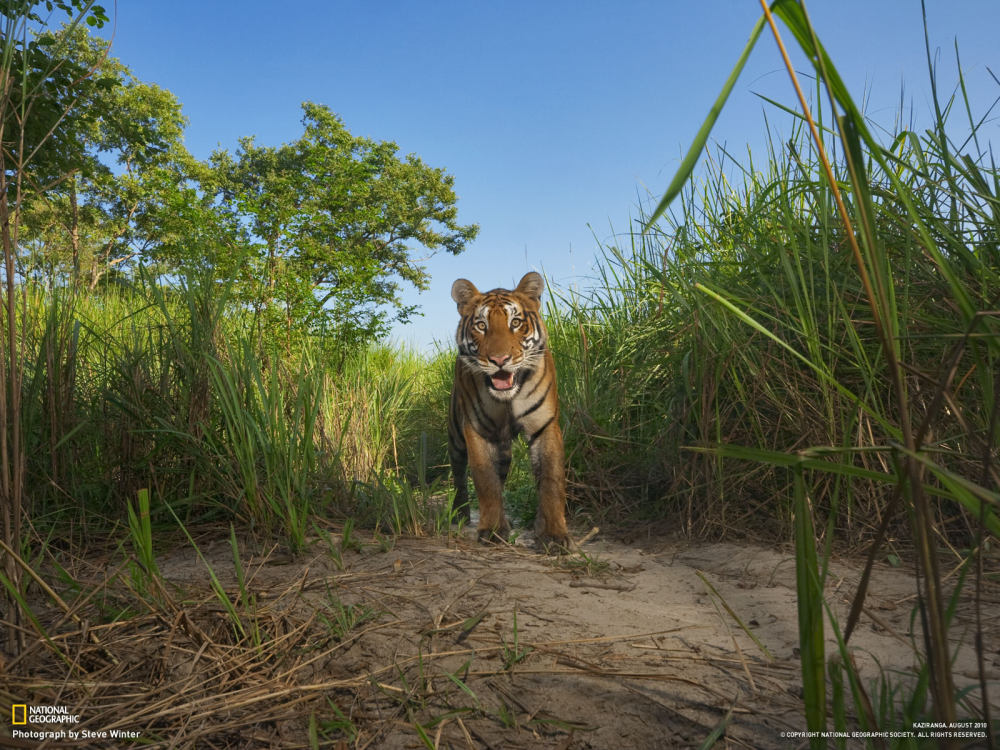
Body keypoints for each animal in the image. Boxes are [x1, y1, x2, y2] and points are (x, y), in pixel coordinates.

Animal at [448, 272, 572, 552]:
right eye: (481, 325)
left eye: (515, 322)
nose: (499, 360)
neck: (507, 399)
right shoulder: (477, 431)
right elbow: (485, 481)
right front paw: (493, 530)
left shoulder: (544, 426)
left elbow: (551, 482)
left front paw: (553, 534)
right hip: (457, 436)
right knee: (459, 473)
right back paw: (460, 514)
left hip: (503, 449)